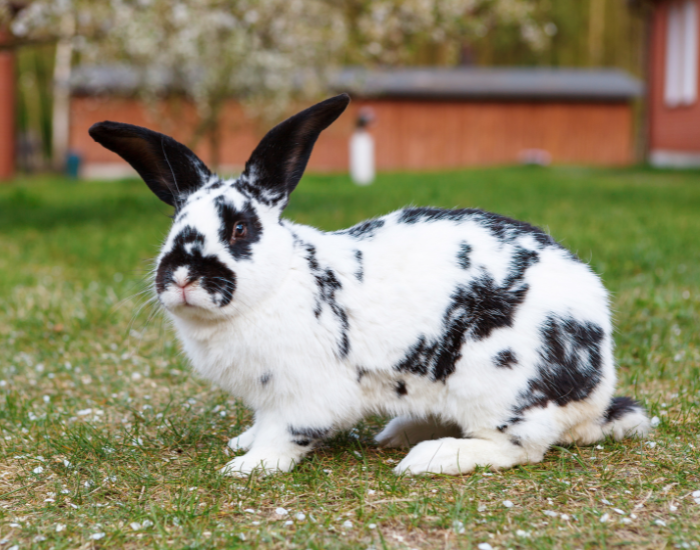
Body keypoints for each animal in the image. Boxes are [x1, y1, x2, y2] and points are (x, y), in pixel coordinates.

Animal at [88, 93, 651, 476]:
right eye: (174, 226)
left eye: (239, 229)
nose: (182, 276)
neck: (278, 284)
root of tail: (597, 391)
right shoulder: (267, 396)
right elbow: (261, 422)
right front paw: (241, 444)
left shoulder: (304, 394)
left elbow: (285, 432)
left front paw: (249, 465)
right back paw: (397, 434)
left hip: (498, 386)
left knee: (518, 448)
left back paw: (429, 457)